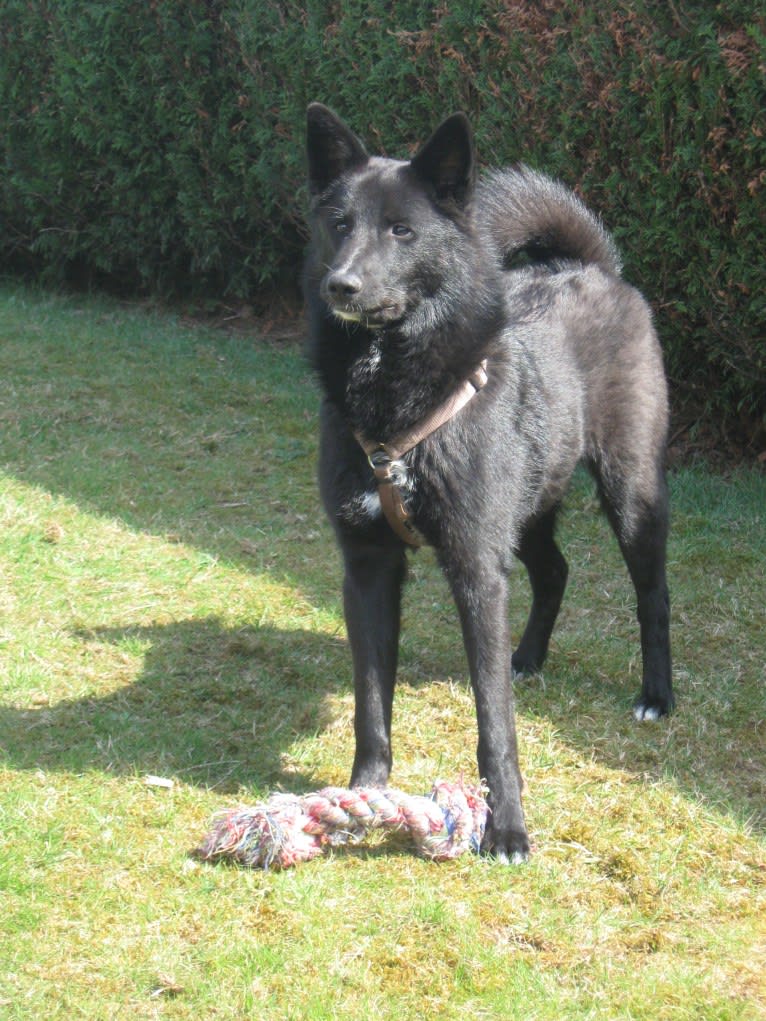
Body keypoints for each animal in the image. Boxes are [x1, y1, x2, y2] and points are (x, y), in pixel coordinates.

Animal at [302, 103, 674, 857]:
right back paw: (527, 657)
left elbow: (493, 721)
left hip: (630, 492)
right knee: (555, 569)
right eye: (339, 224)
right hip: (526, 505)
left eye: (402, 230)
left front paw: (506, 826)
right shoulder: (368, 568)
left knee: (652, 593)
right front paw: (362, 797)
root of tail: (594, 268)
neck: (396, 394)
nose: (340, 287)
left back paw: (657, 694)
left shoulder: (476, 566)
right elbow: (370, 703)